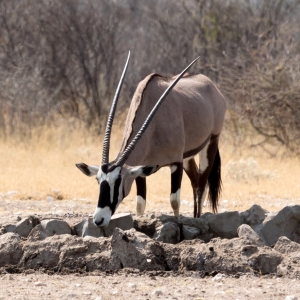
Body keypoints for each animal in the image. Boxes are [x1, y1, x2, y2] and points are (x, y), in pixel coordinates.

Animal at [76, 53, 226, 227]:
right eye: (98, 180)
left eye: (118, 181)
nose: (99, 220)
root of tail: (212, 86)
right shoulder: (141, 169)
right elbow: (140, 203)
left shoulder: (176, 163)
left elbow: (174, 200)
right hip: (188, 155)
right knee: (195, 180)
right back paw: (194, 217)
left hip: (211, 141)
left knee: (202, 183)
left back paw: (198, 218)